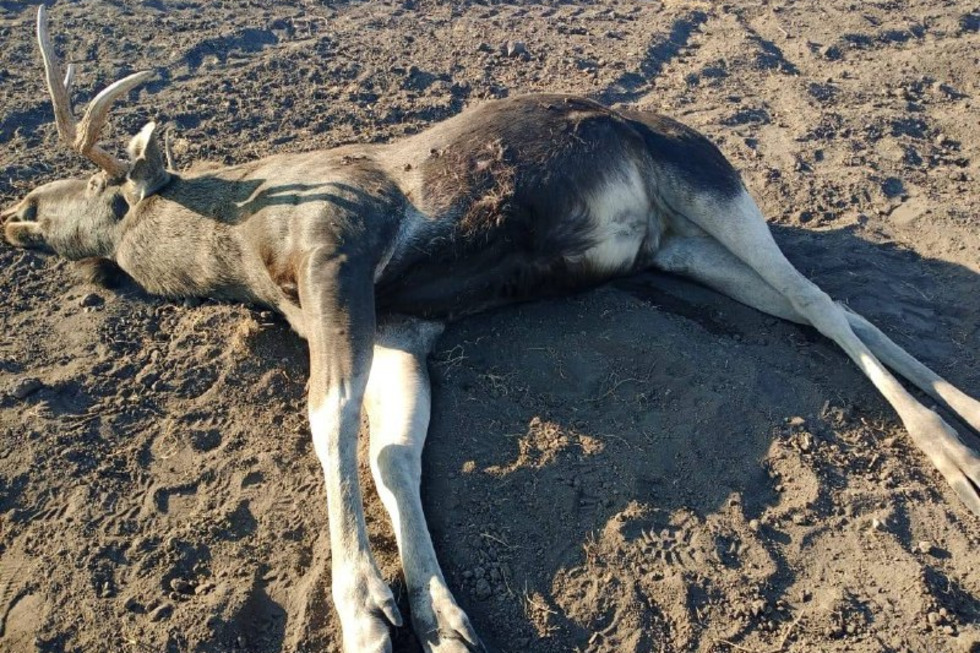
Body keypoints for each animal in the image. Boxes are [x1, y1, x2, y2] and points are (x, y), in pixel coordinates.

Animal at [1, 6, 980, 652]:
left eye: (105, 191)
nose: (19, 209)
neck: (239, 248)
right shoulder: (403, 321)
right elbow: (393, 449)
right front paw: (439, 614)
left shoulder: (336, 248)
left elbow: (330, 420)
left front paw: (365, 607)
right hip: (679, 248)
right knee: (837, 306)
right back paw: (967, 413)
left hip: (707, 179)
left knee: (819, 302)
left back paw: (949, 450)